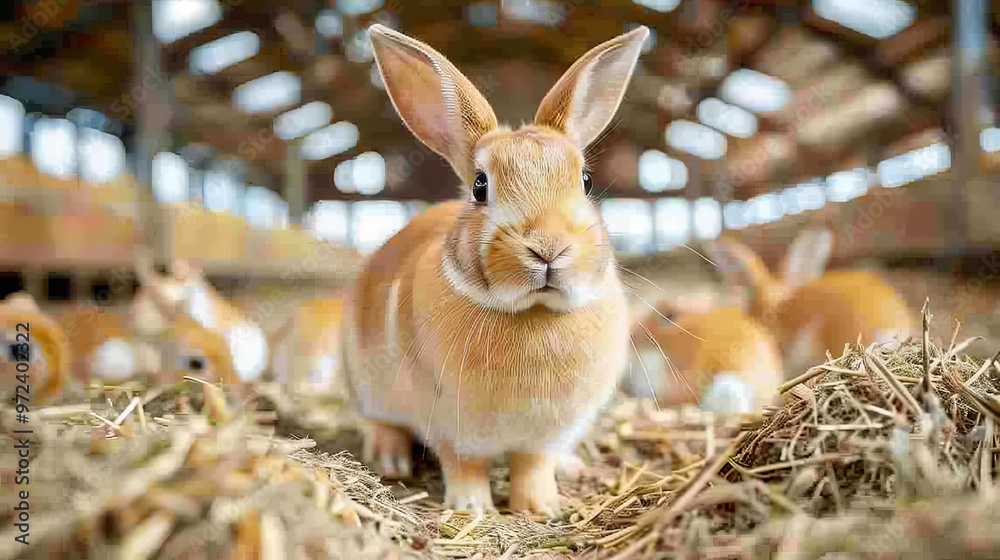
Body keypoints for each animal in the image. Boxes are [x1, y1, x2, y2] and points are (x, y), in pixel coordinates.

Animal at [344, 23, 648, 516]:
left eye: (585, 181)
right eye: (479, 186)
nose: (548, 248)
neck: (535, 312)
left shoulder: (545, 436)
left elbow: (533, 466)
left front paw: (541, 508)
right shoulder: (453, 431)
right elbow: (464, 467)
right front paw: (472, 508)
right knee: (381, 423)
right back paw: (390, 461)